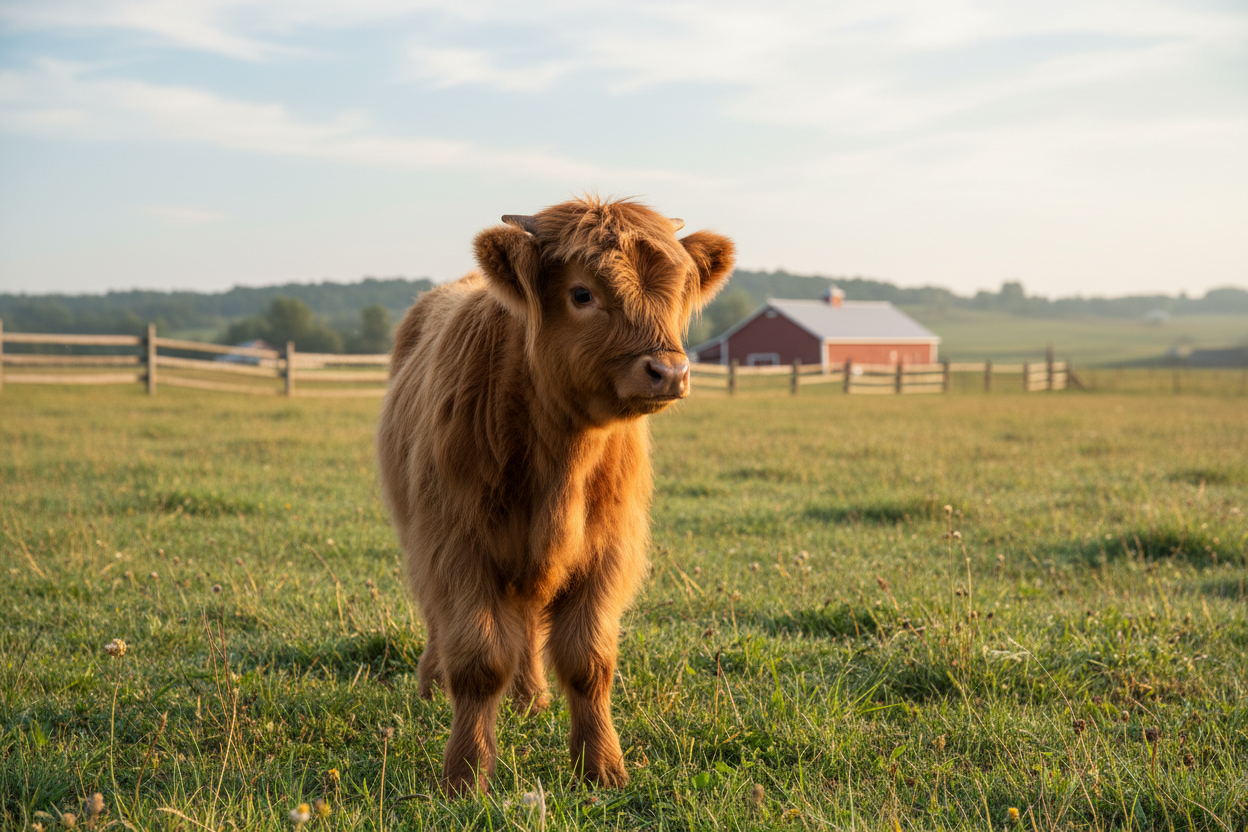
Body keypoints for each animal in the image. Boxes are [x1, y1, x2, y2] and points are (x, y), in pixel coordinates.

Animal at [376, 196, 734, 795]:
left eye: (676, 291)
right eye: (582, 293)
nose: (670, 371)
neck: (561, 461)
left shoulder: (607, 551)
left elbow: (589, 661)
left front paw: (603, 767)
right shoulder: (456, 545)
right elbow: (478, 660)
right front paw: (466, 774)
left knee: (525, 624)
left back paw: (530, 698)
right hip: (420, 537)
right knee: (438, 621)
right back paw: (431, 686)